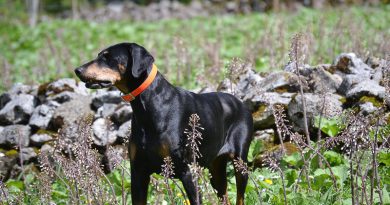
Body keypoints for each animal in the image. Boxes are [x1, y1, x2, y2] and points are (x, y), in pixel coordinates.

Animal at [74, 42, 254, 204]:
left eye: (107, 57)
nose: (77, 70)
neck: (148, 107)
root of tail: (240, 103)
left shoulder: (188, 172)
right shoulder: (138, 173)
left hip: (240, 164)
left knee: (240, 196)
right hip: (216, 168)